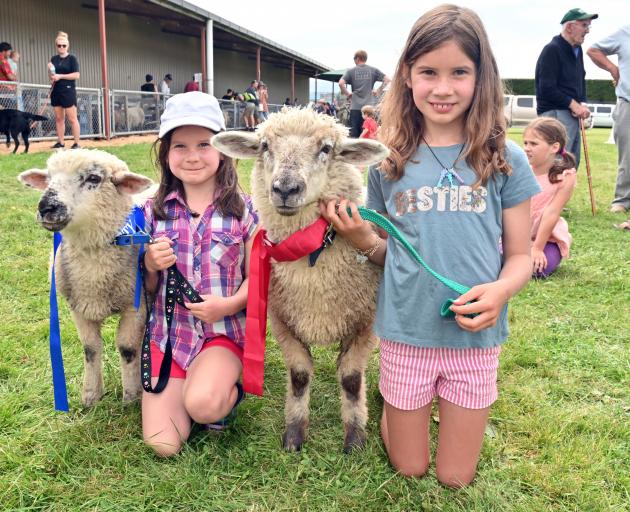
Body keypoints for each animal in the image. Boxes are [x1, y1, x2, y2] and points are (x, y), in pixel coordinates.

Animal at [19, 149, 153, 408]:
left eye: (93, 178)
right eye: (49, 178)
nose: (46, 207)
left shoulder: (136, 305)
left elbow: (127, 348)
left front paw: (132, 395)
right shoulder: (78, 307)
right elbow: (90, 349)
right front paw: (91, 395)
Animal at [214, 108, 390, 452]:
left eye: (326, 148)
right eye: (264, 145)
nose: (285, 189)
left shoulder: (365, 323)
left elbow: (351, 379)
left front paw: (355, 436)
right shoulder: (283, 321)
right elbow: (298, 376)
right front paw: (295, 432)